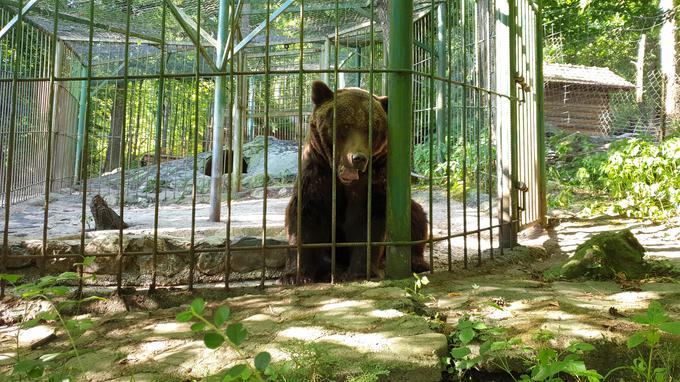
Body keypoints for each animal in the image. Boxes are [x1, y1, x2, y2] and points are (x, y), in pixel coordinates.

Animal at [284, 80, 428, 282]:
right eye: (345, 126)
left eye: (372, 130)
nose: (358, 158)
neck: (343, 182)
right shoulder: (317, 171)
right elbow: (305, 217)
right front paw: (295, 274)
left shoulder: (374, 177)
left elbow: (368, 220)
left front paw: (361, 272)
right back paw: (328, 268)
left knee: (416, 216)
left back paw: (417, 262)